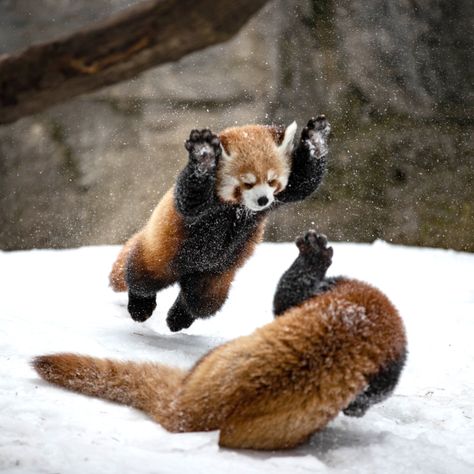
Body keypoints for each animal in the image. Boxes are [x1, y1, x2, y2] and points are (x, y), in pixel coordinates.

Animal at [108, 115, 330, 332]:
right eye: (248, 183)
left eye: (271, 181)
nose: (263, 200)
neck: (237, 208)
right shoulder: (200, 207)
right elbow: (190, 200)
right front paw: (203, 155)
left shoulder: (278, 198)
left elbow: (304, 183)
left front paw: (316, 140)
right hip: (161, 252)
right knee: (142, 278)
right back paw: (140, 307)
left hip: (216, 275)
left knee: (202, 302)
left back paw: (178, 318)